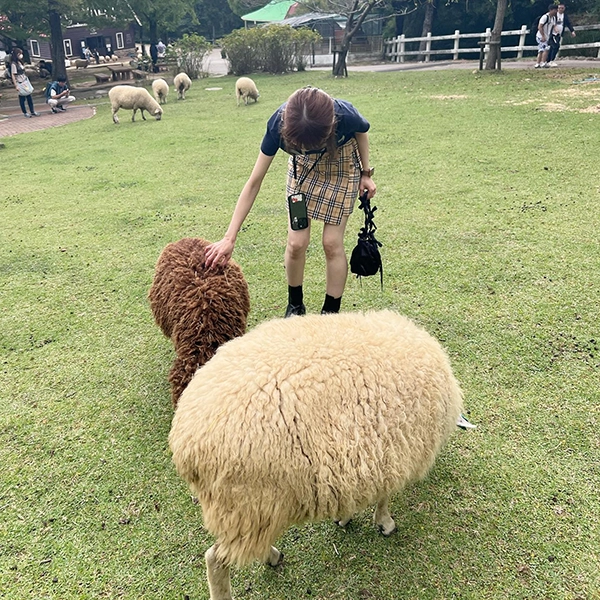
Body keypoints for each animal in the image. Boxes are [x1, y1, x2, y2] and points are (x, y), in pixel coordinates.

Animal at [169, 310, 464, 600]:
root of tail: (186, 442)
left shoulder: (364, 457)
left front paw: (344, 517)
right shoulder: (394, 454)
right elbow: (384, 496)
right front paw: (385, 523)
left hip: (251, 510)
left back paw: (272, 556)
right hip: (248, 504)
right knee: (216, 560)